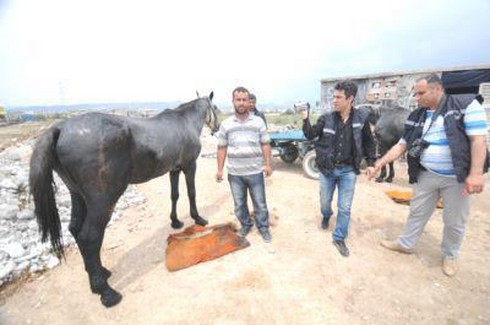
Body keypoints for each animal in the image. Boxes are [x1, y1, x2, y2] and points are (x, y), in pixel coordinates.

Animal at [27, 92, 218, 306]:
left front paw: (175, 221)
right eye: (216, 108)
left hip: (76, 194)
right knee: (90, 237)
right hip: (103, 201)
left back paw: (100, 272)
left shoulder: (174, 170)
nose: (217, 127)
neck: (184, 122)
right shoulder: (189, 165)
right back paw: (105, 291)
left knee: (75, 229)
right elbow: (192, 192)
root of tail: (60, 129)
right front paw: (198, 218)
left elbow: (174, 195)